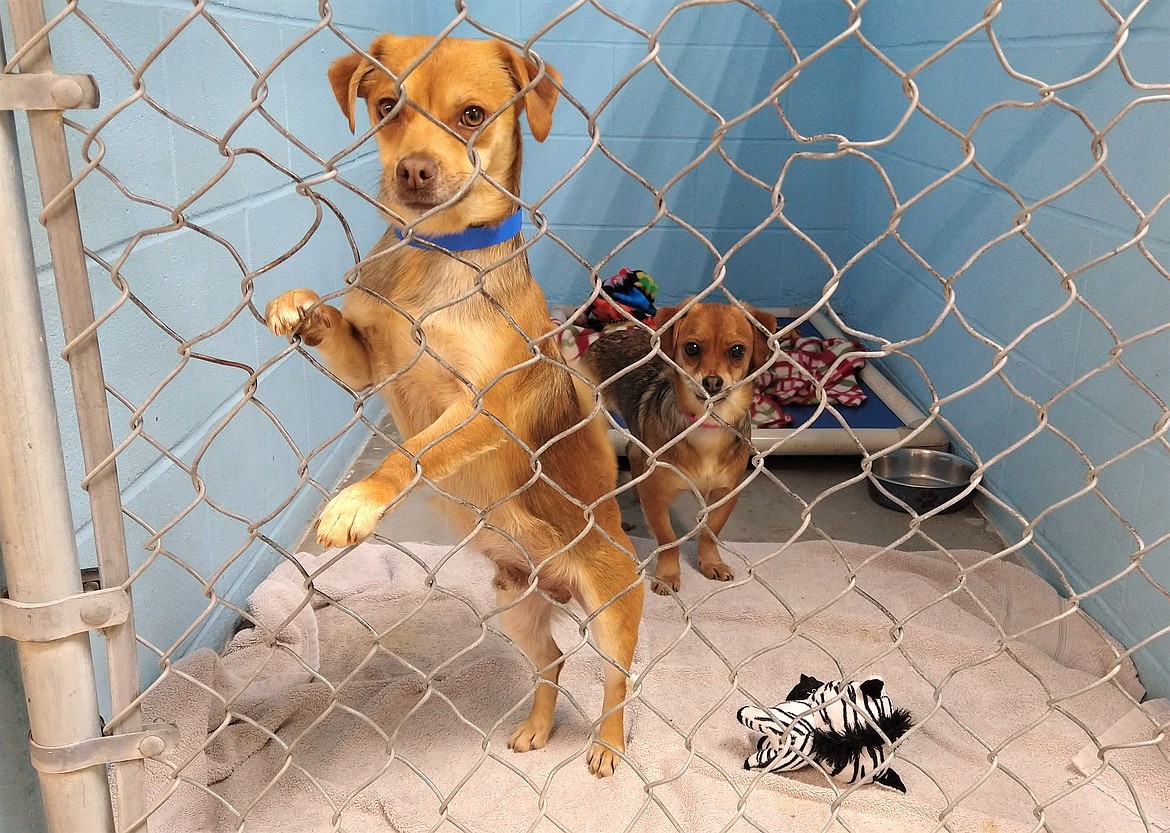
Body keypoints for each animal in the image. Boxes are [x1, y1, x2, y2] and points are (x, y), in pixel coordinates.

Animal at [264, 32, 645, 772]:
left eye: (472, 115)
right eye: (387, 106)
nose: (413, 171)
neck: (434, 257)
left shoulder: (481, 408)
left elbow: (412, 452)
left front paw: (356, 503)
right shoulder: (368, 367)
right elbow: (337, 325)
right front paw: (300, 305)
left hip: (613, 610)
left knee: (616, 681)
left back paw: (608, 747)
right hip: (515, 603)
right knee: (553, 661)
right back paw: (536, 727)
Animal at [585, 301, 776, 594]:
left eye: (737, 351)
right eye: (692, 348)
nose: (712, 382)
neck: (707, 425)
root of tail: (609, 336)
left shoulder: (726, 494)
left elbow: (710, 532)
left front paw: (711, 562)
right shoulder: (657, 497)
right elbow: (667, 539)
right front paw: (667, 575)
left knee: (633, 451)